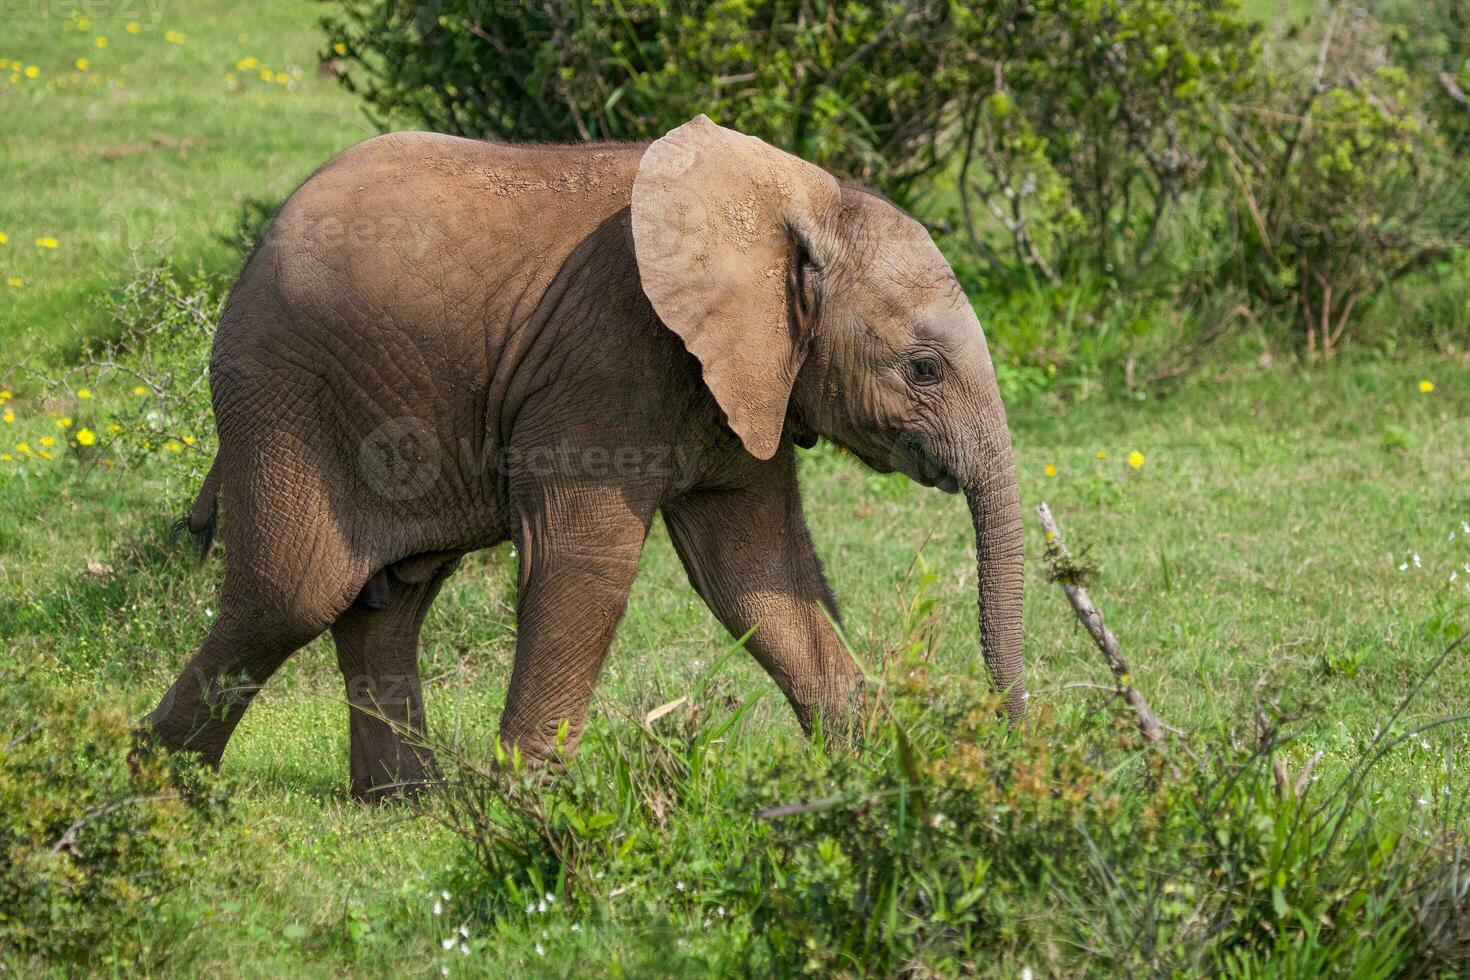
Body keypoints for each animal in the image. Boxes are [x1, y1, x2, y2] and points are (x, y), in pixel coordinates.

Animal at [146, 116, 1023, 805]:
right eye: (924, 369)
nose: (1013, 740)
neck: (794, 205)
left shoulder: (749, 380)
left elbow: (757, 575)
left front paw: (879, 774)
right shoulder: (606, 356)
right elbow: (585, 562)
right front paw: (528, 808)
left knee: (388, 600)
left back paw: (403, 802)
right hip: (285, 392)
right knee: (293, 593)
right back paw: (153, 784)